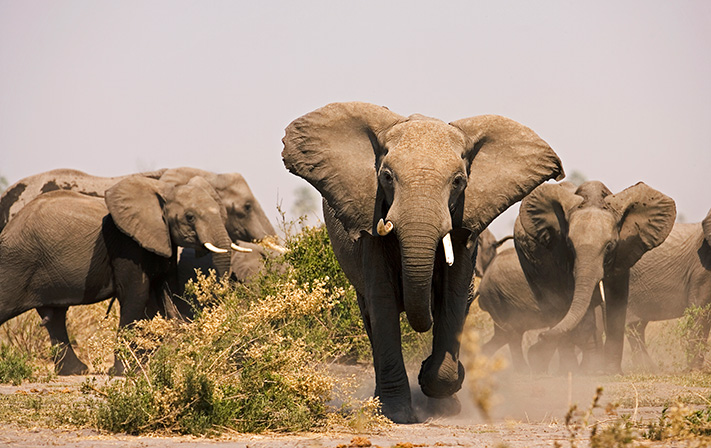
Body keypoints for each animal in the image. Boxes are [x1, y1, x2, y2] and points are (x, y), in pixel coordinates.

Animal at [280, 101, 564, 424]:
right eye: (387, 177)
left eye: (459, 182)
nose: (425, 364)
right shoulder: (372, 223)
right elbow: (383, 303)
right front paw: (398, 413)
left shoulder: (464, 224)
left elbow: (453, 298)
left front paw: (442, 395)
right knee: (370, 315)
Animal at [512, 180, 680, 372]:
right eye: (569, 244)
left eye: (609, 246)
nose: (540, 338)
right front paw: (591, 370)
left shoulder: (623, 251)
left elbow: (617, 300)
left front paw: (611, 371)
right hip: (528, 261)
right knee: (553, 305)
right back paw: (568, 368)